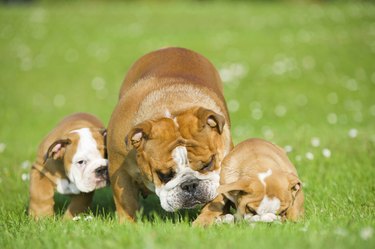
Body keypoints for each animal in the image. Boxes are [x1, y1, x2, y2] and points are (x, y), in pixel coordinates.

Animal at [106, 46, 234, 222]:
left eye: (207, 164)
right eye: (164, 175)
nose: (190, 185)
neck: (171, 108)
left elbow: (216, 200)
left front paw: (205, 221)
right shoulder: (120, 170)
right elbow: (126, 204)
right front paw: (128, 224)